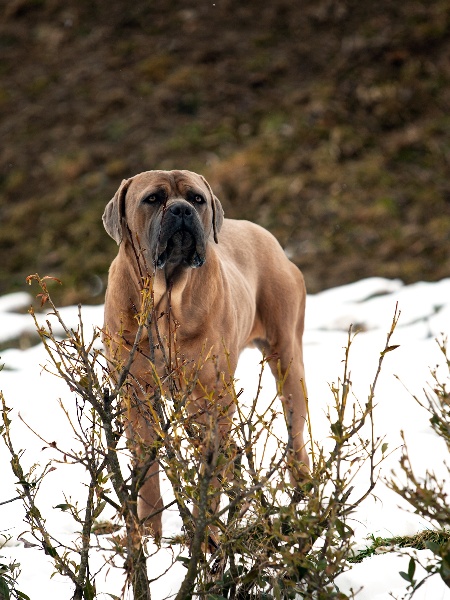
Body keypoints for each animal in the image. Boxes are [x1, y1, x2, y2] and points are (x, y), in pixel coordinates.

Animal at [102, 170, 308, 540]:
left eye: (197, 199)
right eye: (152, 199)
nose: (182, 210)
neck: (165, 297)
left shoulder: (211, 396)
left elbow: (209, 472)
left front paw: (205, 533)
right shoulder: (137, 395)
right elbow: (147, 473)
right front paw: (150, 539)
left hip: (287, 359)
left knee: (295, 436)